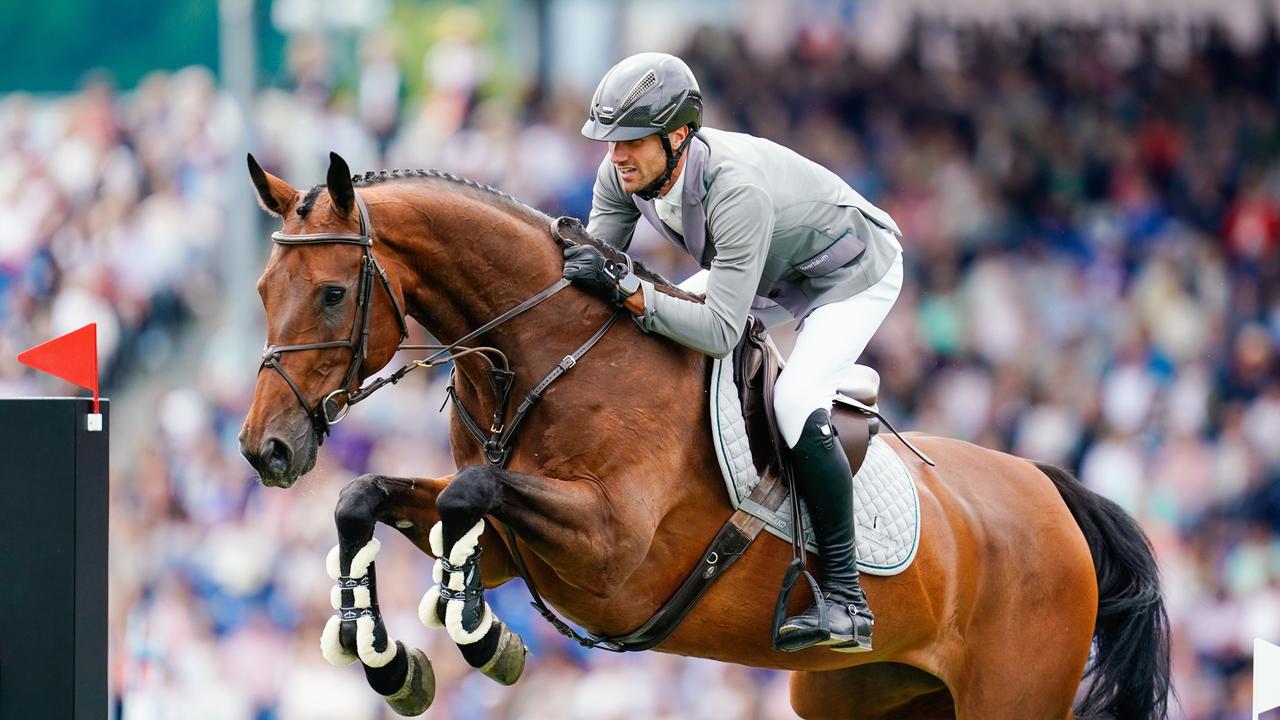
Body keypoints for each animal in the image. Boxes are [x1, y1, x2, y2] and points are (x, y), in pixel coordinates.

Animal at [238, 152, 1171, 719]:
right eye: (260, 289)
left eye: (331, 293)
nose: (264, 451)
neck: (542, 360)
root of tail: (1052, 491)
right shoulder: (507, 545)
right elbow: (367, 500)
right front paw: (387, 656)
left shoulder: (608, 549)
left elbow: (472, 494)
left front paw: (476, 633)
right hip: (870, 693)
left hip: (1008, 694)